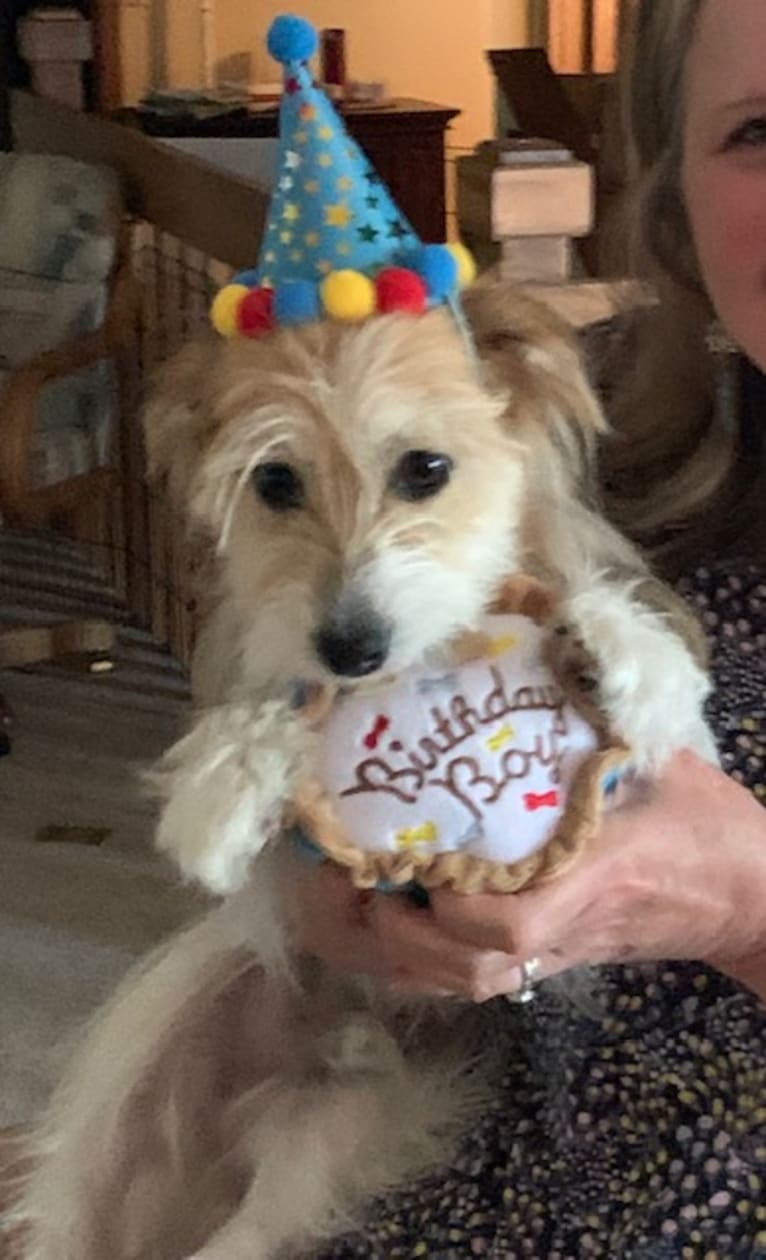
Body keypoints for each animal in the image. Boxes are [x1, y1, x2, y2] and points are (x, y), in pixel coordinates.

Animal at [5, 286, 715, 1260]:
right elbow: (253, 759)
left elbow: (653, 689)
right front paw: (228, 779)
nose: (350, 648)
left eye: (427, 467)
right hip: (138, 1077)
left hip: (333, 1132)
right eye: (274, 482)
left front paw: (627, 652)